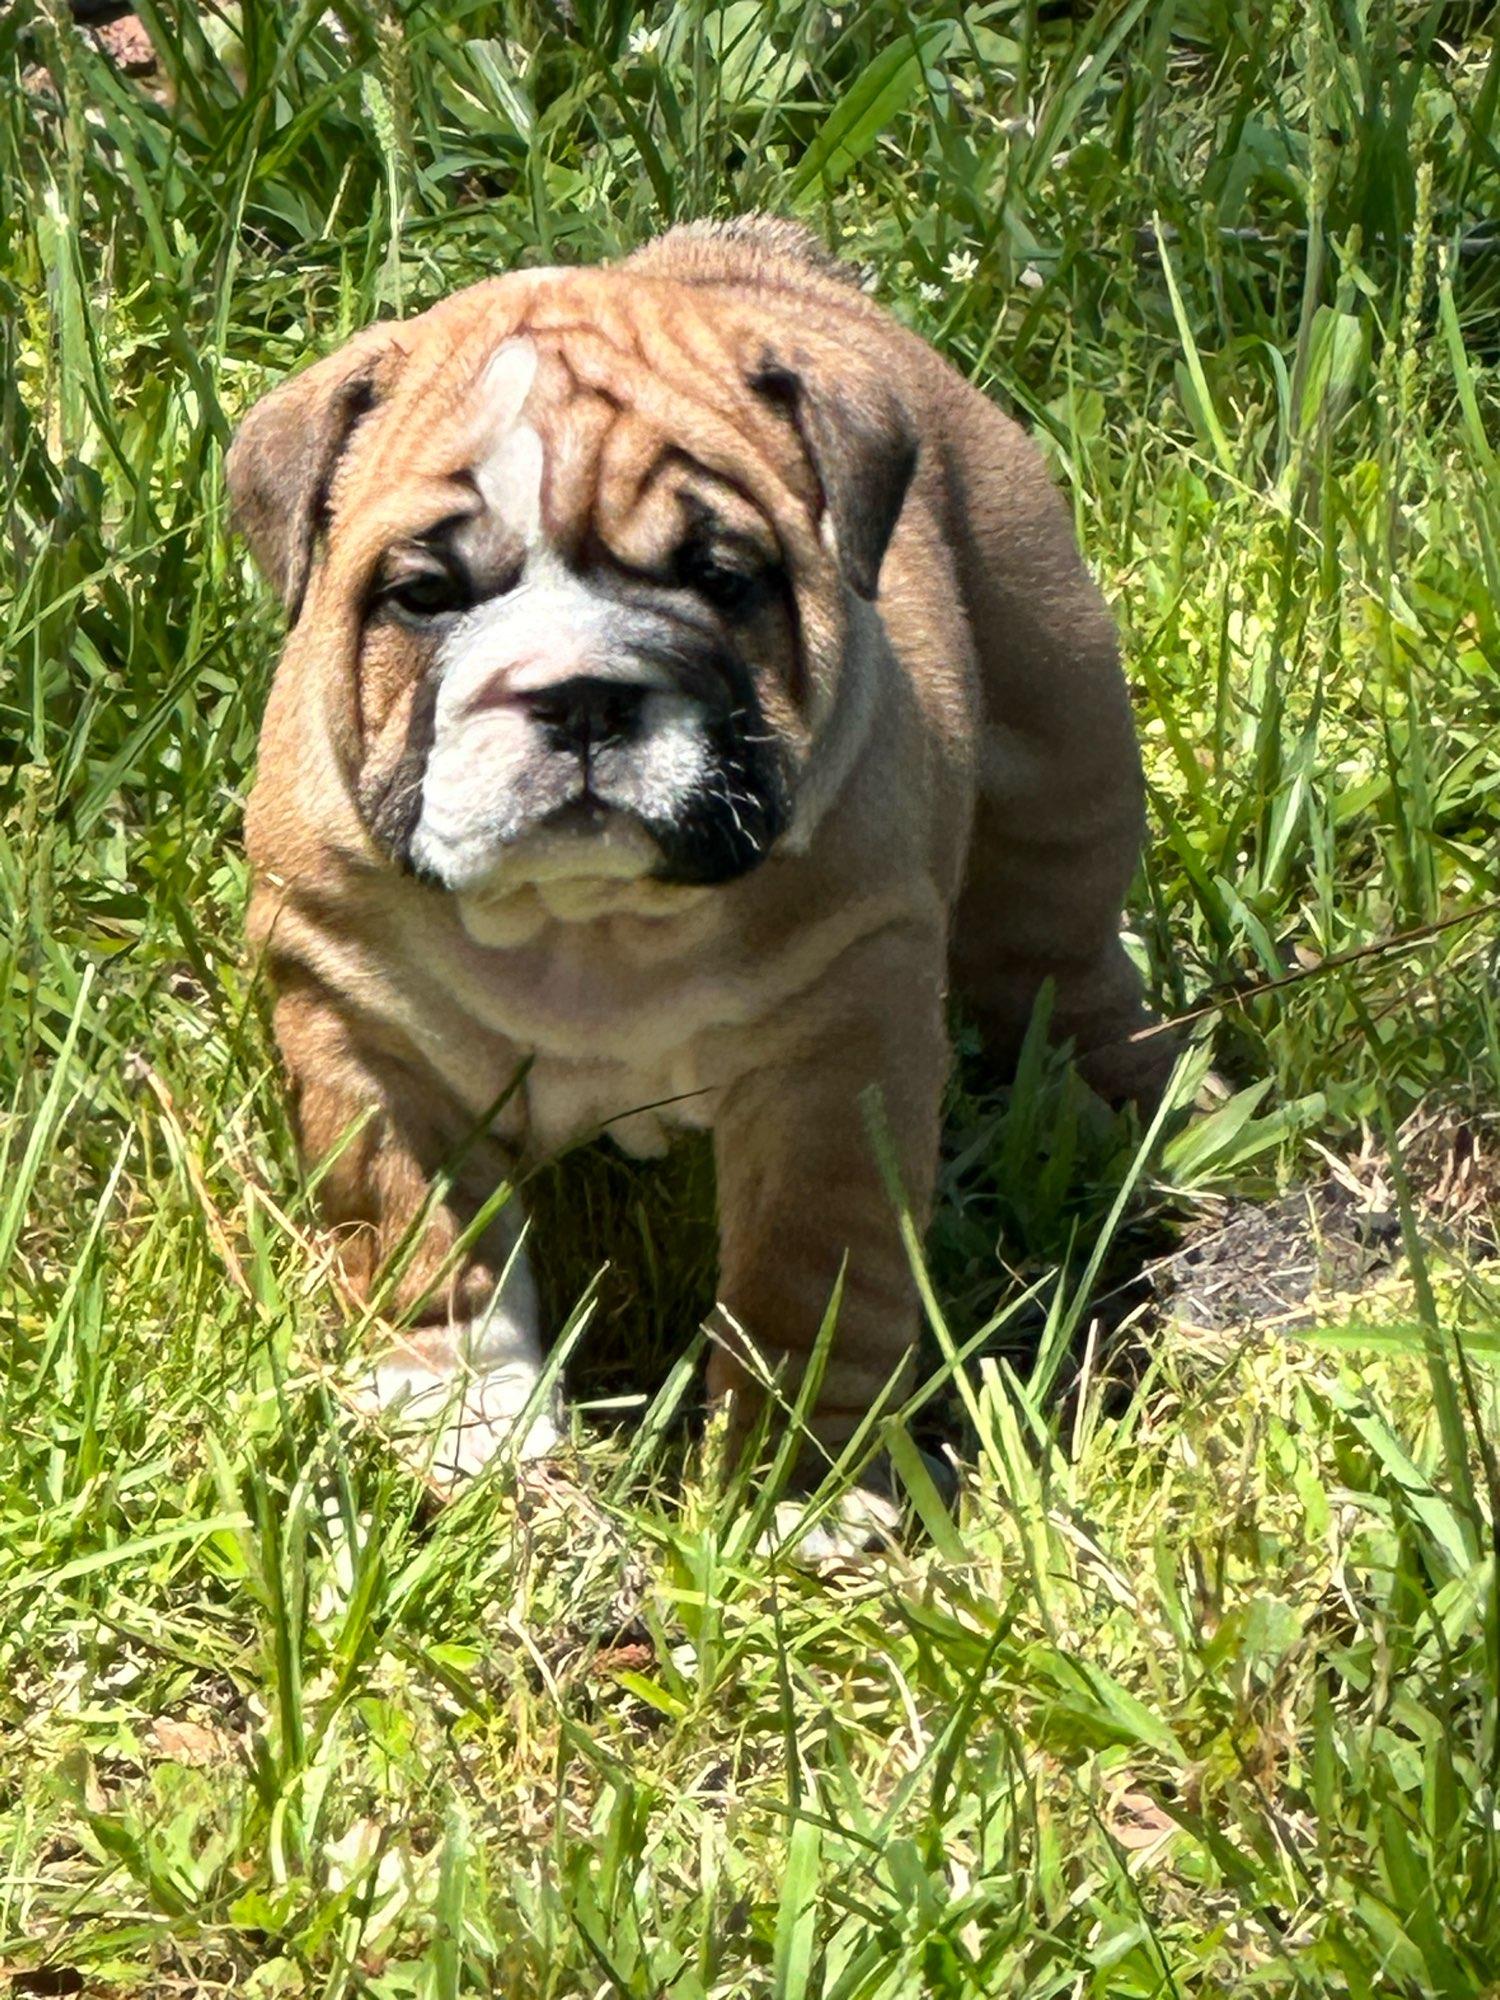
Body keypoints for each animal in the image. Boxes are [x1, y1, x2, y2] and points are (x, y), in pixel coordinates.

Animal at [228, 216, 1166, 1491]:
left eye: (721, 578)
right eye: (424, 594)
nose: (579, 693)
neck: (587, 928)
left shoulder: (836, 1056)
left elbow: (811, 1282)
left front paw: (799, 1483)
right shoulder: (361, 1028)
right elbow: (421, 1240)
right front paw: (462, 1424)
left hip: (1056, 731)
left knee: (1061, 967)